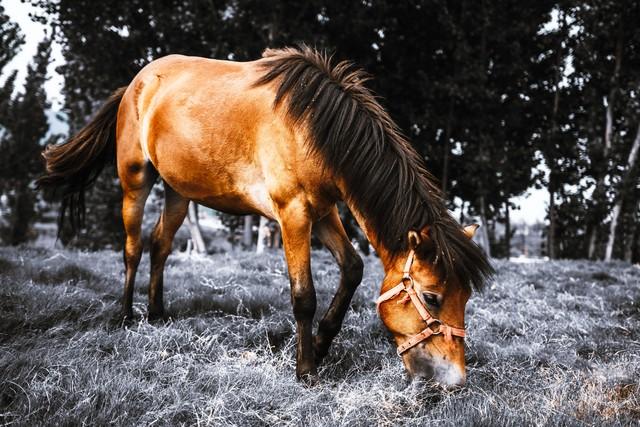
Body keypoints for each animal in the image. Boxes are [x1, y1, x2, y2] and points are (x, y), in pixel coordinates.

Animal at [37, 46, 492, 388]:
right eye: (432, 297)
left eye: (466, 297)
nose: (456, 380)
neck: (315, 126)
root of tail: (136, 82)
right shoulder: (294, 214)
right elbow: (303, 295)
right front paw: (306, 370)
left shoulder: (324, 212)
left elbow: (353, 269)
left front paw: (322, 346)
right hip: (135, 182)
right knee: (133, 248)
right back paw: (127, 317)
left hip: (179, 193)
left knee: (160, 244)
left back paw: (157, 314)